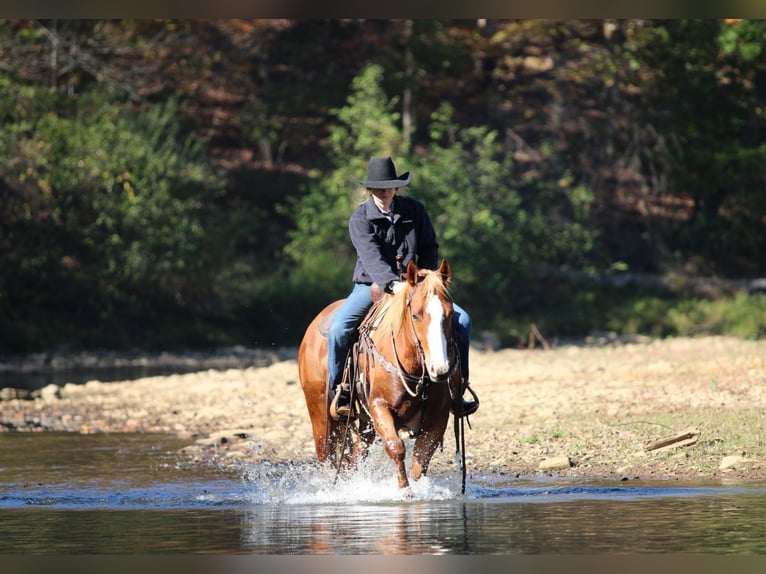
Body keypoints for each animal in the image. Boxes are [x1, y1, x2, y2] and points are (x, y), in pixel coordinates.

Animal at [298, 259, 462, 489]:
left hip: (365, 423)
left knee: (356, 455)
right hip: (321, 416)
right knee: (325, 457)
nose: (440, 369)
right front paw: (404, 490)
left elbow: (420, 461)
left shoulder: (437, 419)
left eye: (449, 314)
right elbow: (396, 447)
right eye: (415, 315)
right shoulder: (379, 406)